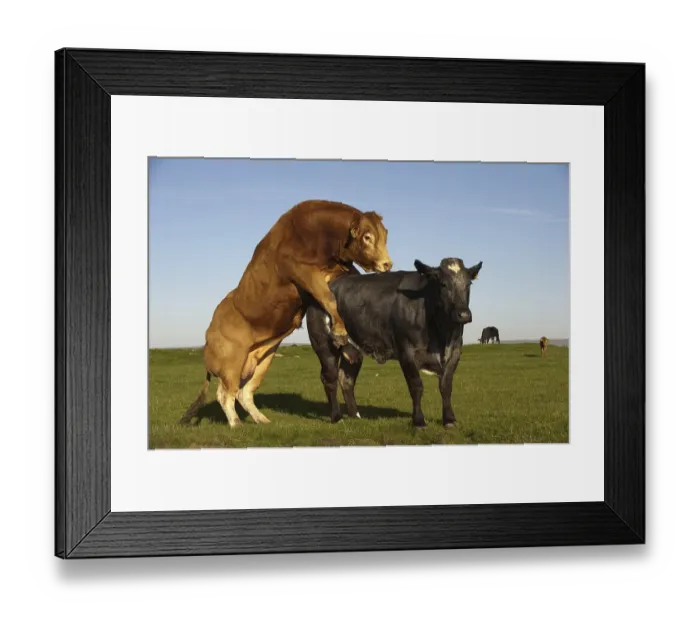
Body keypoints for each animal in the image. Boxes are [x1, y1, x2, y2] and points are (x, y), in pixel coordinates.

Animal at [179, 199, 393, 428]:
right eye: (367, 236)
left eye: (384, 235)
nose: (387, 264)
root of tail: (209, 333)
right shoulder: (301, 271)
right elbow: (327, 296)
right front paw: (339, 331)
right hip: (231, 364)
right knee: (225, 393)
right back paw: (236, 423)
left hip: (262, 360)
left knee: (244, 393)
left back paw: (262, 419)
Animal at [306, 257, 483, 428]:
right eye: (443, 284)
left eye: (468, 284)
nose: (464, 314)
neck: (441, 335)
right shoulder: (406, 351)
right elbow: (416, 386)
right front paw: (418, 421)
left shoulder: (455, 350)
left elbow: (446, 386)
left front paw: (449, 419)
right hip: (324, 345)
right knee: (330, 378)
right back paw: (336, 417)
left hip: (353, 350)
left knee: (346, 380)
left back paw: (355, 416)